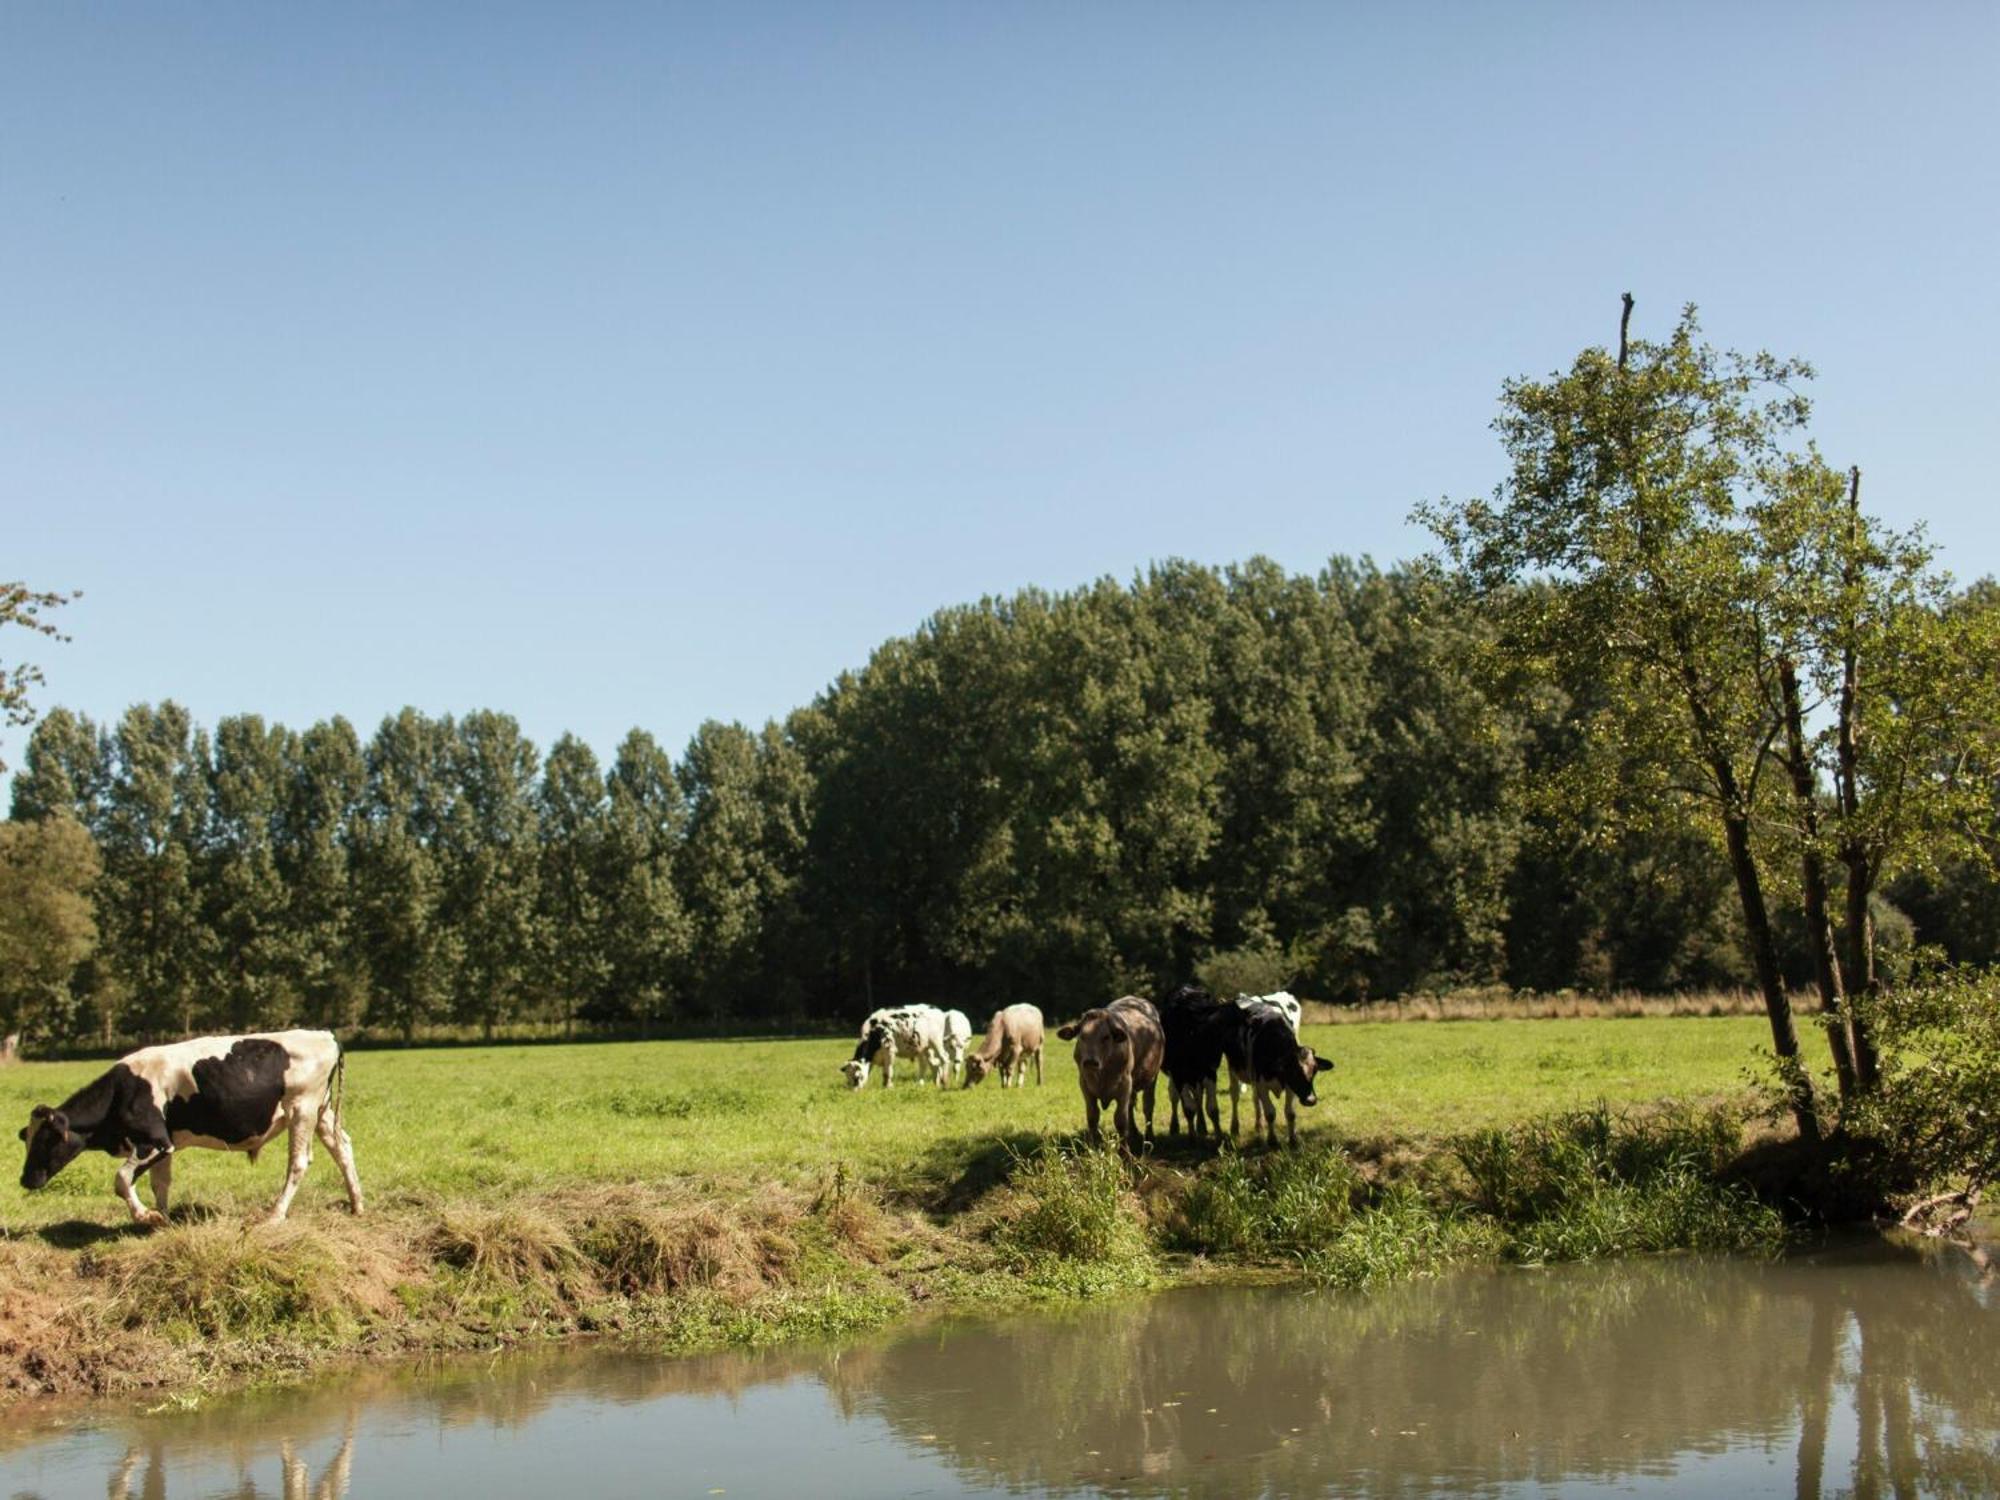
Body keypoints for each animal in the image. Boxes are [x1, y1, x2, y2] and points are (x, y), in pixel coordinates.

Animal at [17, 1032, 364, 1232]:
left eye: (47, 1139)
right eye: (27, 1139)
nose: (25, 1179)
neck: (123, 1090)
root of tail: (325, 1035)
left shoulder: (154, 1142)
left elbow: (121, 1179)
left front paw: (145, 1216)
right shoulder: (166, 1142)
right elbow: (160, 1183)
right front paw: (162, 1220)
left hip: (302, 1108)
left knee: (299, 1162)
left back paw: (274, 1215)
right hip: (321, 1111)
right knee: (343, 1147)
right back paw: (356, 1204)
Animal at [1056, 1000, 1168, 1152]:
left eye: (1106, 1037)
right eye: (1082, 1036)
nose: (1090, 1061)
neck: (1102, 1073)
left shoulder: (1124, 1085)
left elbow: (1120, 1120)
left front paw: (1125, 1153)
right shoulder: (1085, 1085)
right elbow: (1092, 1117)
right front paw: (1093, 1148)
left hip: (1152, 1078)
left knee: (1148, 1106)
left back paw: (1149, 1137)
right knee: (1131, 1106)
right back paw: (1134, 1133)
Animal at [1240, 1012, 1336, 1152]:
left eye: (1315, 1070)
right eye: (1293, 1071)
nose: (1311, 1100)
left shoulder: (1291, 1087)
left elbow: (1290, 1113)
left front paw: (1292, 1140)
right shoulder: (1261, 1084)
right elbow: (1270, 1113)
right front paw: (1272, 1141)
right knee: (1255, 1100)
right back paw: (1257, 1125)